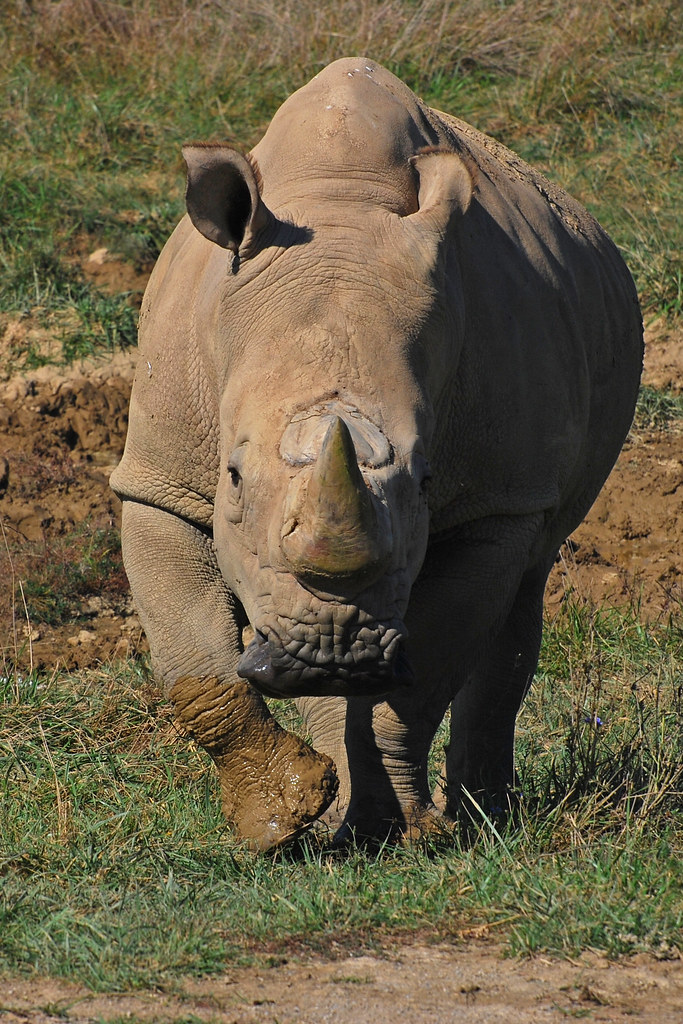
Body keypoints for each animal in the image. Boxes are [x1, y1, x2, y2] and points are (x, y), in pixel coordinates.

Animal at [111, 57, 643, 850]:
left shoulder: (491, 502)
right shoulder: (159, 479)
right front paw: (277, 820)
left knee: (526, 582)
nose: (333, 650)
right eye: (231, 477)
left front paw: (414, 834)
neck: (338, 212)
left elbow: (422, 682)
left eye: (425, 481)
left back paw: (476, 817)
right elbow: (195, 666)